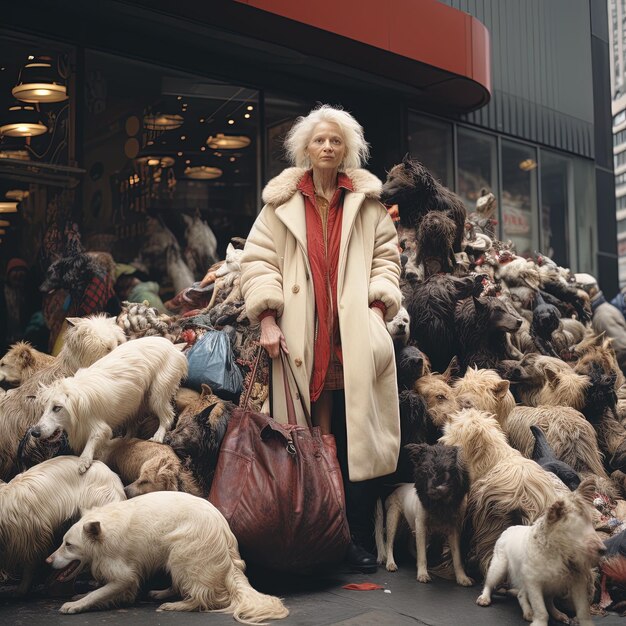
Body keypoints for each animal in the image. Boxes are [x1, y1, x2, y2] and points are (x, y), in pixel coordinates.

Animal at [32, 336, 188, 472]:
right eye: (44, 409)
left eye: (57, 408)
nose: (34, 432)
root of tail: (172, 345)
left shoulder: (101, 428)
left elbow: (93, 439)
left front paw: (84, 461)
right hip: (135, 403)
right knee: (133, 427)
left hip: (157, 395)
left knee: (167, 416)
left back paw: (158, 436)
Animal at [46, 490, 288, 620]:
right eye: (62, 543)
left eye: (69, 545)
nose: (47, 561)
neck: (103, 535)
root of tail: (226, 535)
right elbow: (98, 592)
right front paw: (79, 596)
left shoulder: (125, 578)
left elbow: (98, 594)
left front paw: (76, 604)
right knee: (183, 586)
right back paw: (162, 593)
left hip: (181, 553)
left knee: (203, 598)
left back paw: (176, 605)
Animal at [476, 476, 604, 620]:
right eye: (576, 529)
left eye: (591, 525)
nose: (603, 550)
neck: (556, 552)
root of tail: (508, 529)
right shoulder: (535, 581)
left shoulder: (556, 584)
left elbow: (548, 602)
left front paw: (557, 613)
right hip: (499, 567)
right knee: (489, 583)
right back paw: (485, 598)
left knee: (524, 594)